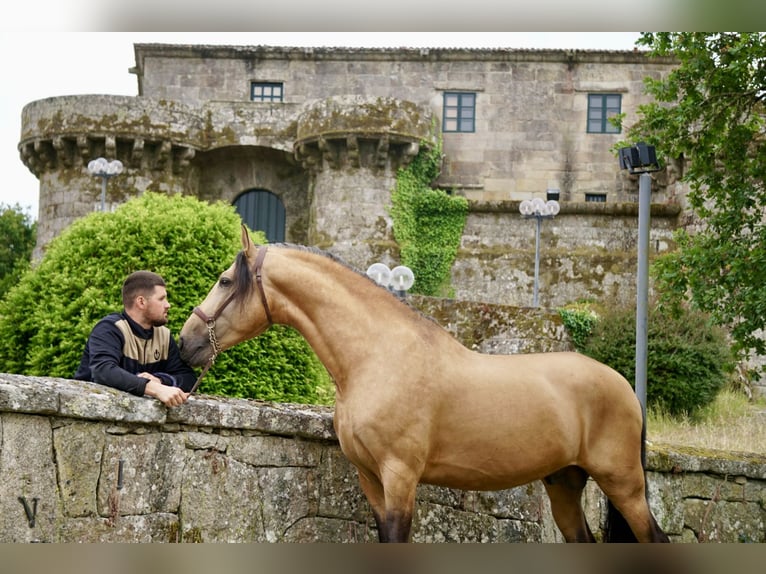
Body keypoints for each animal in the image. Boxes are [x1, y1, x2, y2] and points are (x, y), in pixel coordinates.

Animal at [180, 226, 672, 544]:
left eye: (225, 280)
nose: (186, 342)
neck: (378, 356)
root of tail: (625, 387)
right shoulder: (371, 480)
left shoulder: (400, 477)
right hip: (564, 483)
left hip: (624, 483)